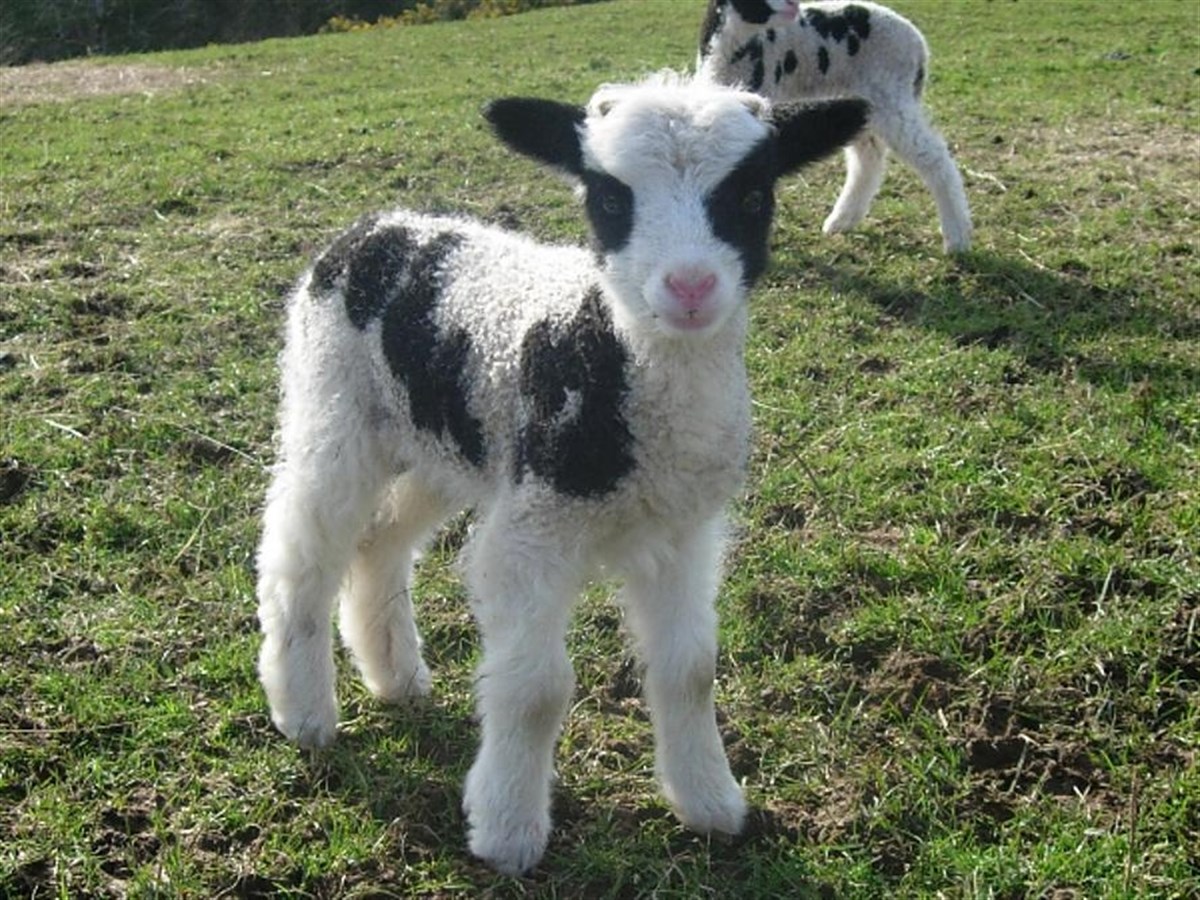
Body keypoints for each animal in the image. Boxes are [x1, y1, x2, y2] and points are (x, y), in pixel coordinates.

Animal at [254, 71, 866, 875]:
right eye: (607, 197)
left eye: (752, 193)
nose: (690, 287)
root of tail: (376, 227)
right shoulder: (534, 530)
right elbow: (537, 689)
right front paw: (508, 832)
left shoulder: (682, 532)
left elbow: (691, 669)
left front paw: (710, 803)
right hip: (332, 408)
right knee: (301, 556)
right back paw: (303, 713)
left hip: (442, 446)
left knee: (379, 544)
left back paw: (396, 679)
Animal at [698, 0, 972, 252]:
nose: (793, 6)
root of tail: (919, 45)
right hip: (860, 101)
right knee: (867, 158)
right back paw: (842, 220)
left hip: (891, 94)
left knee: (933, 157)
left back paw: (957, 238)